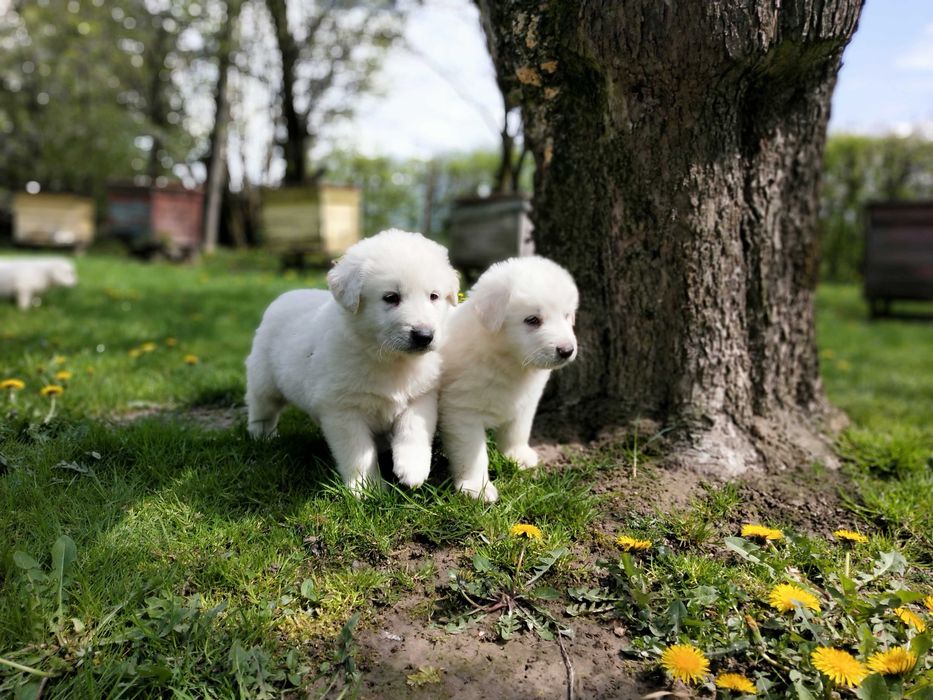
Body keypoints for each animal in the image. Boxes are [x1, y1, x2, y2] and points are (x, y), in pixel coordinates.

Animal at [242, 230, 456, 492]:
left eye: (434, 296)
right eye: (390, 297)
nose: (424, 336)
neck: (390, 360)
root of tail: (285, 296)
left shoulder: (422, 394)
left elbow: (413, 428)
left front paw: (412, 469)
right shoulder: (343, 410)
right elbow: (358, 452)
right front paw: (366, 488)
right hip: (264, 381)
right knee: (262, 408)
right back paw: (262, 437)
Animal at [436, 258, 576, 504]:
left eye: (567, 315)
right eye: (532, 320)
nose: (567, 350)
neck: (507, 360)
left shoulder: (525, 402)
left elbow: (517, 430)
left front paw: (518, 456)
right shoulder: (462, 412)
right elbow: (472, 454)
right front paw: (477, 489)